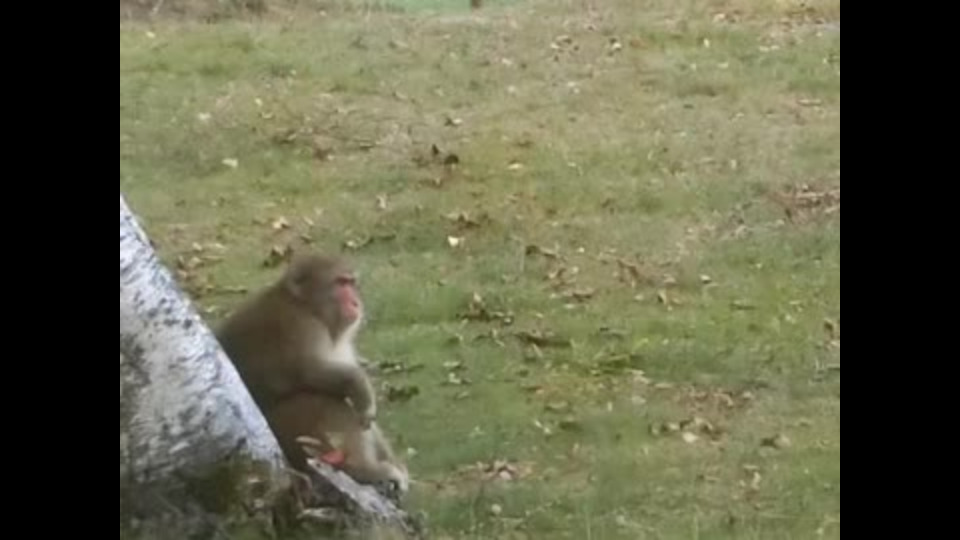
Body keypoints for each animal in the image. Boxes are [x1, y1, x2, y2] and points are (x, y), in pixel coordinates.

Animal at [215, 253, 378, 427]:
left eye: (351, 283)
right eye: (341, 283)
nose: (356, 303)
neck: (307, 306)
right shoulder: (303, 327)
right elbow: (308, 372)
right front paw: (360, 388)